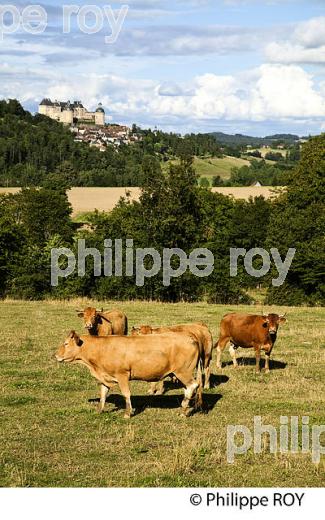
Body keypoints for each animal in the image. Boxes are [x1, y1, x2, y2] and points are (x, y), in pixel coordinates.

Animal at [56, 330, 202, 418]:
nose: (56, 355)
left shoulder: (122, 375)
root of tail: (189, 337)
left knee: (193, 385)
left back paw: (183, 409)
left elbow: (126, 394)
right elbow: (103, 394)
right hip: (180, 374)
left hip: (183, 372)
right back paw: (184, 408)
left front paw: (127, 413)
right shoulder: (105, 376)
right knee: (187, 389)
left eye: (66, 343)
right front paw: (99, 410)